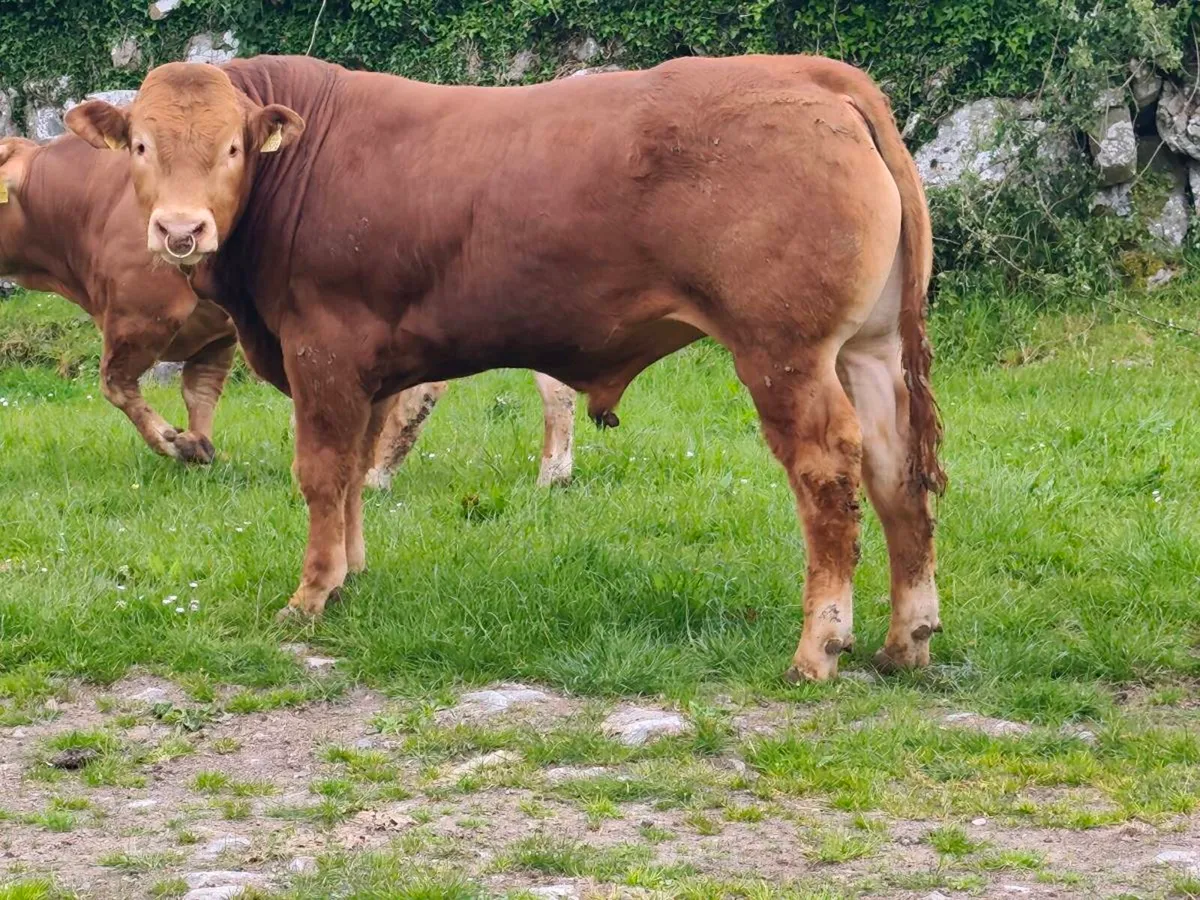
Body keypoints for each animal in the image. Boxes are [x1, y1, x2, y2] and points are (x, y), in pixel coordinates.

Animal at [0, 134, 575, 483]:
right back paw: (553, 474)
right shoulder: (214, 335)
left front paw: (173, 443)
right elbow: (199, 394)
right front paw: (199, 447)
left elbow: (117, 387)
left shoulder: (140, 314)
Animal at [68, 53, 947, 681]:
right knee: (897, 472)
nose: (179, 230)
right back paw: (906, 640)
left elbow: (320, 472)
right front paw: (350, 574)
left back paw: (819, 648)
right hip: (868, 350)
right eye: (142, 145)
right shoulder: (364, 367)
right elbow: (353, 472)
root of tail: (810, 72)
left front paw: (310, 595)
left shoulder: (322, 347)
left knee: (828, 472)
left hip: (785, 352)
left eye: (231, 148)